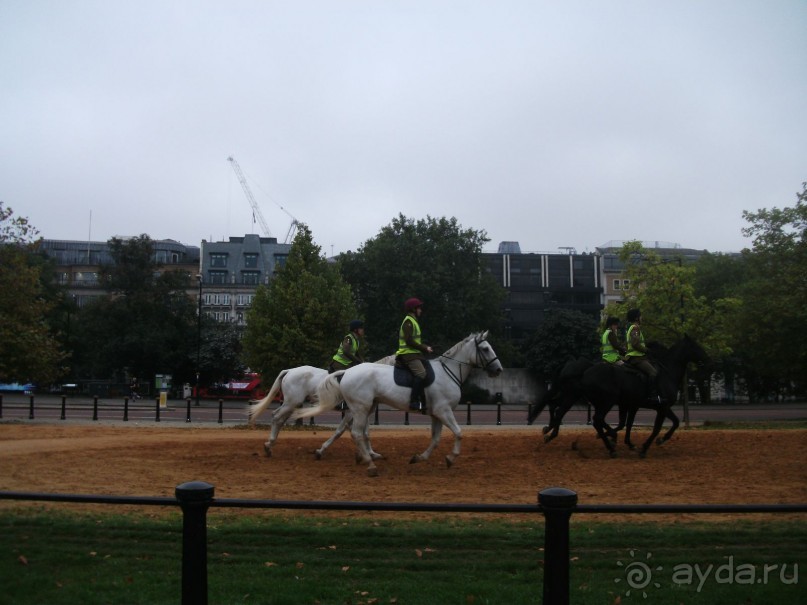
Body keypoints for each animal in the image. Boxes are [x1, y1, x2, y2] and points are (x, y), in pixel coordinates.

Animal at [249, 354, 394, 458]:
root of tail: (289, 371)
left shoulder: (363, 411)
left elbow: (366, 433)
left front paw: (371, 453)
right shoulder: (351, 412)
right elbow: (340, 431)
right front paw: (321, 450)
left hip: (292, 404)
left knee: (279, 419)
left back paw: (270, 445)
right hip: (291, 402)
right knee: (276, 417)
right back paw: (269, 445)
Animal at [294, 332, 502, 474]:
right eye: (485, 349)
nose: (498, 370)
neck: (448, 372)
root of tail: (347, 372)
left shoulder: (437, 413)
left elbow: (435, 439)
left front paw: (419, 458)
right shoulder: (444, 411)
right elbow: (458, 433)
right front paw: (451, 458)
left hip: (366, 408)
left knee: (358, 433)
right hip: (360, 409)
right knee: (356, 433)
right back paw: (370, 464)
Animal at [532, 336, 712, 458]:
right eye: (696, 346)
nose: (708, 360)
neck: (666, 372)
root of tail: (583, 370)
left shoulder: (638, 405)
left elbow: (630, 424)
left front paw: (632, 443)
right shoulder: (661, 407)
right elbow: (658, 427)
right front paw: (646, 446)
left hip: (586, 399)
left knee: (560, 408)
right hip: (602, 401)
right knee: (590, 418)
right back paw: (609, 447)